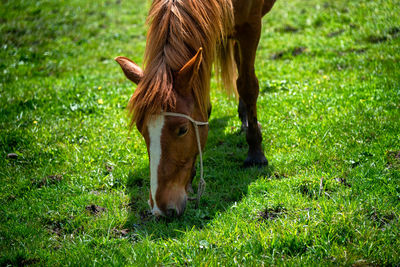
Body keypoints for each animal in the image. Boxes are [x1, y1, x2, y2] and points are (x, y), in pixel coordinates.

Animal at [115, 0, 276, 218]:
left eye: (183, 129)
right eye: (142, 130)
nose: (160, 208)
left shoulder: (250, 26)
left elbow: (248, 85)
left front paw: (255, 151)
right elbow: (204, 103)